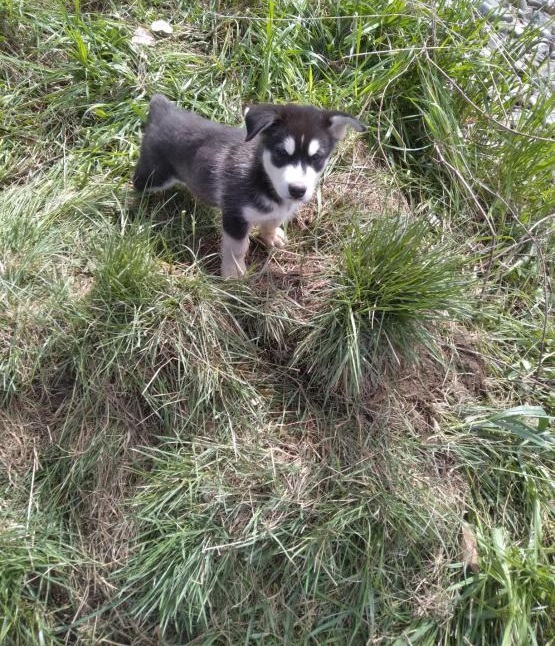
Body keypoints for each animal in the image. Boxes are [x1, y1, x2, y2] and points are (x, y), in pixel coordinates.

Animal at [134, 95, 370, 278]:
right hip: (153, 176)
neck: (264, 180)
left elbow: (271, 223)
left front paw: (272, 237)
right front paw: (234, 272)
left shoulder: (275, 212)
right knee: (137, 185)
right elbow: (237, 248)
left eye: (317, 157)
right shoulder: (235, 216)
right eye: (281, 153)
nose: (297, 190)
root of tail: (162, 109)